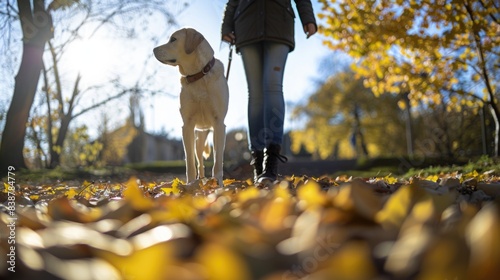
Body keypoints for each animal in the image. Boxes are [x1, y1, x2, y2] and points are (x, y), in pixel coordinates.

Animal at [153, 28, 229, 186]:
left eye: (173, 39)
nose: (153, 49)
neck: (198, 75)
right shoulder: (187, 125)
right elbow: (189, 160)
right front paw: (190, 184)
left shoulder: (219, 124)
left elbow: (218, 160)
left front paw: (218, 184)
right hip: (198, 138)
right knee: (199, 160)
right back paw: (200, 180)